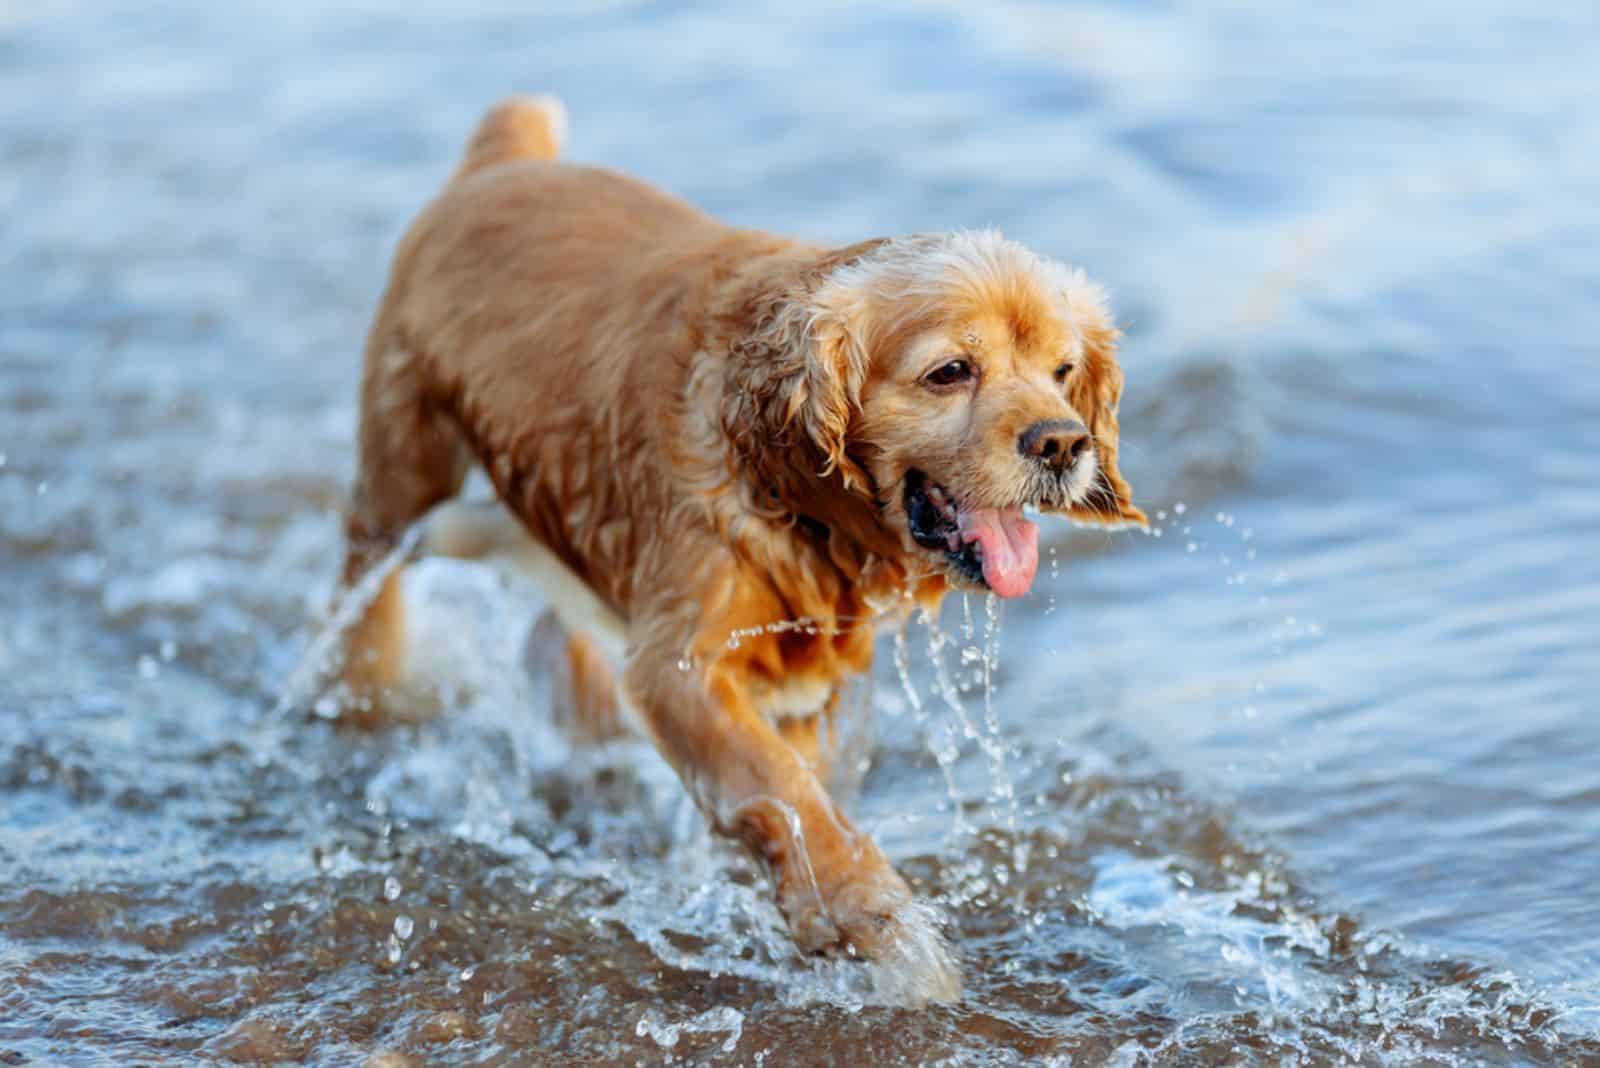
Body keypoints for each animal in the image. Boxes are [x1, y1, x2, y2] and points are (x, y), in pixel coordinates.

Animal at [337, 93, 1145, 1004]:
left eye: (1064, 370)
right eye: (949, 372)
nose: (1063, 443)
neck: (793, 489)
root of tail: (501, 161)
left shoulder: (805, 689)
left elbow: (795, 795)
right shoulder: (678, 663)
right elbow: (786, 798)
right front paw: (884, 929)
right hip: (399, 485)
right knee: (363, 595)